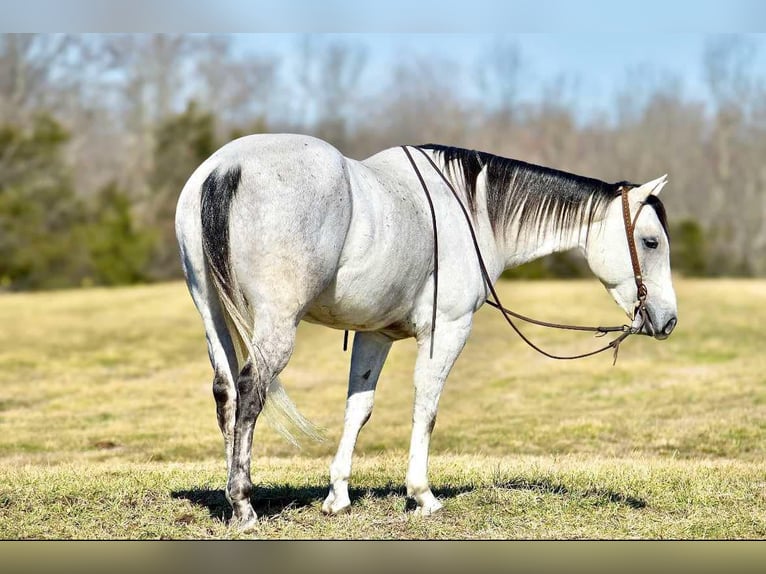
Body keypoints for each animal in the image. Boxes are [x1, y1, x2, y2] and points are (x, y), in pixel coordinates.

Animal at [176, 135, 680, 532]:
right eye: (651, 242)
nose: (668, 320)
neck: (469, 213)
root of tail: (227, 168)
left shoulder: (374, 335)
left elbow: (358, 409)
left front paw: (338, 497)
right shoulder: (448, 330)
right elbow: (427, 407)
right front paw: (422, 496)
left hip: (210, 313)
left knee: (225, 392)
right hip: (276, 326)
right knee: (249, 391)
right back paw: (243, 504)